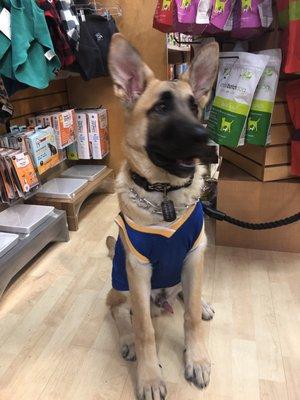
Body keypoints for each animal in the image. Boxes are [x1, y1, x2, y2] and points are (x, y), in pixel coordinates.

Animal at [106, 34, 219, 400]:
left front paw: (196, 357)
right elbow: (145, 329)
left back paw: (201, 302)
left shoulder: (194, 254)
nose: (204, 138)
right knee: (117, 309)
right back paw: (127, 339)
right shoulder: (139, 270)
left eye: (195, 107)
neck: (165, 196)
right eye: (160, 108)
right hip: (121, 281)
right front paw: (150, 377)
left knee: (186, 294)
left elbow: (190, 318)